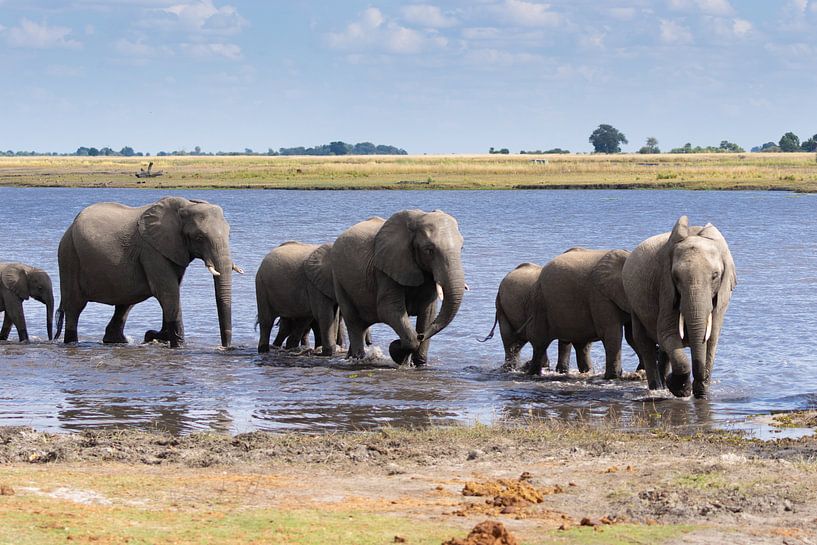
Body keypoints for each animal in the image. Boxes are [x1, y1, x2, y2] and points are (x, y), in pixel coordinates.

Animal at [55, 196, 238, 348]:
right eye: (199, 237)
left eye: (230, 234)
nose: (226, 347)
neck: (186, 205)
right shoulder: (151, 250)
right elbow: (168, 292)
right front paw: (177, 345)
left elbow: (173, 289)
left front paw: (158, 336)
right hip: (69, 255)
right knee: (75, 306)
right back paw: (72, 342)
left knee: (126, 302)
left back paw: (117, 341)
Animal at [331, 209, 466, 365]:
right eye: (429, 250)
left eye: (462, 248)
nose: (420, 336)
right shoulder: (385, 269)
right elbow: (389, 309)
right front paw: (398, 350)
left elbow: (428, 313)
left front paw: (420, 363)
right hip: (339, 279)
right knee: (354, 321)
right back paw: (358, 359)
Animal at [520, 248, 633, 379]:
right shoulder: (599, 294)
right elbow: (611, 332)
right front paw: (613, 377)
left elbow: (632, 335)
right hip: (541, 302)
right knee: (540, 341)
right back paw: (533, 374)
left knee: (581, 344)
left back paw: (587, 372)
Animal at [622, 216, 736, 399]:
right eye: (675, 277)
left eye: (715, 276)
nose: (699, 391)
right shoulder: (665, 288)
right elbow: (667, 333)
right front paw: (680, 390)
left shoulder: (721, 299)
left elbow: (711, 339)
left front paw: (701, 394)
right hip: (633, 303)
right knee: (644, 342)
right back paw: (658, 389)